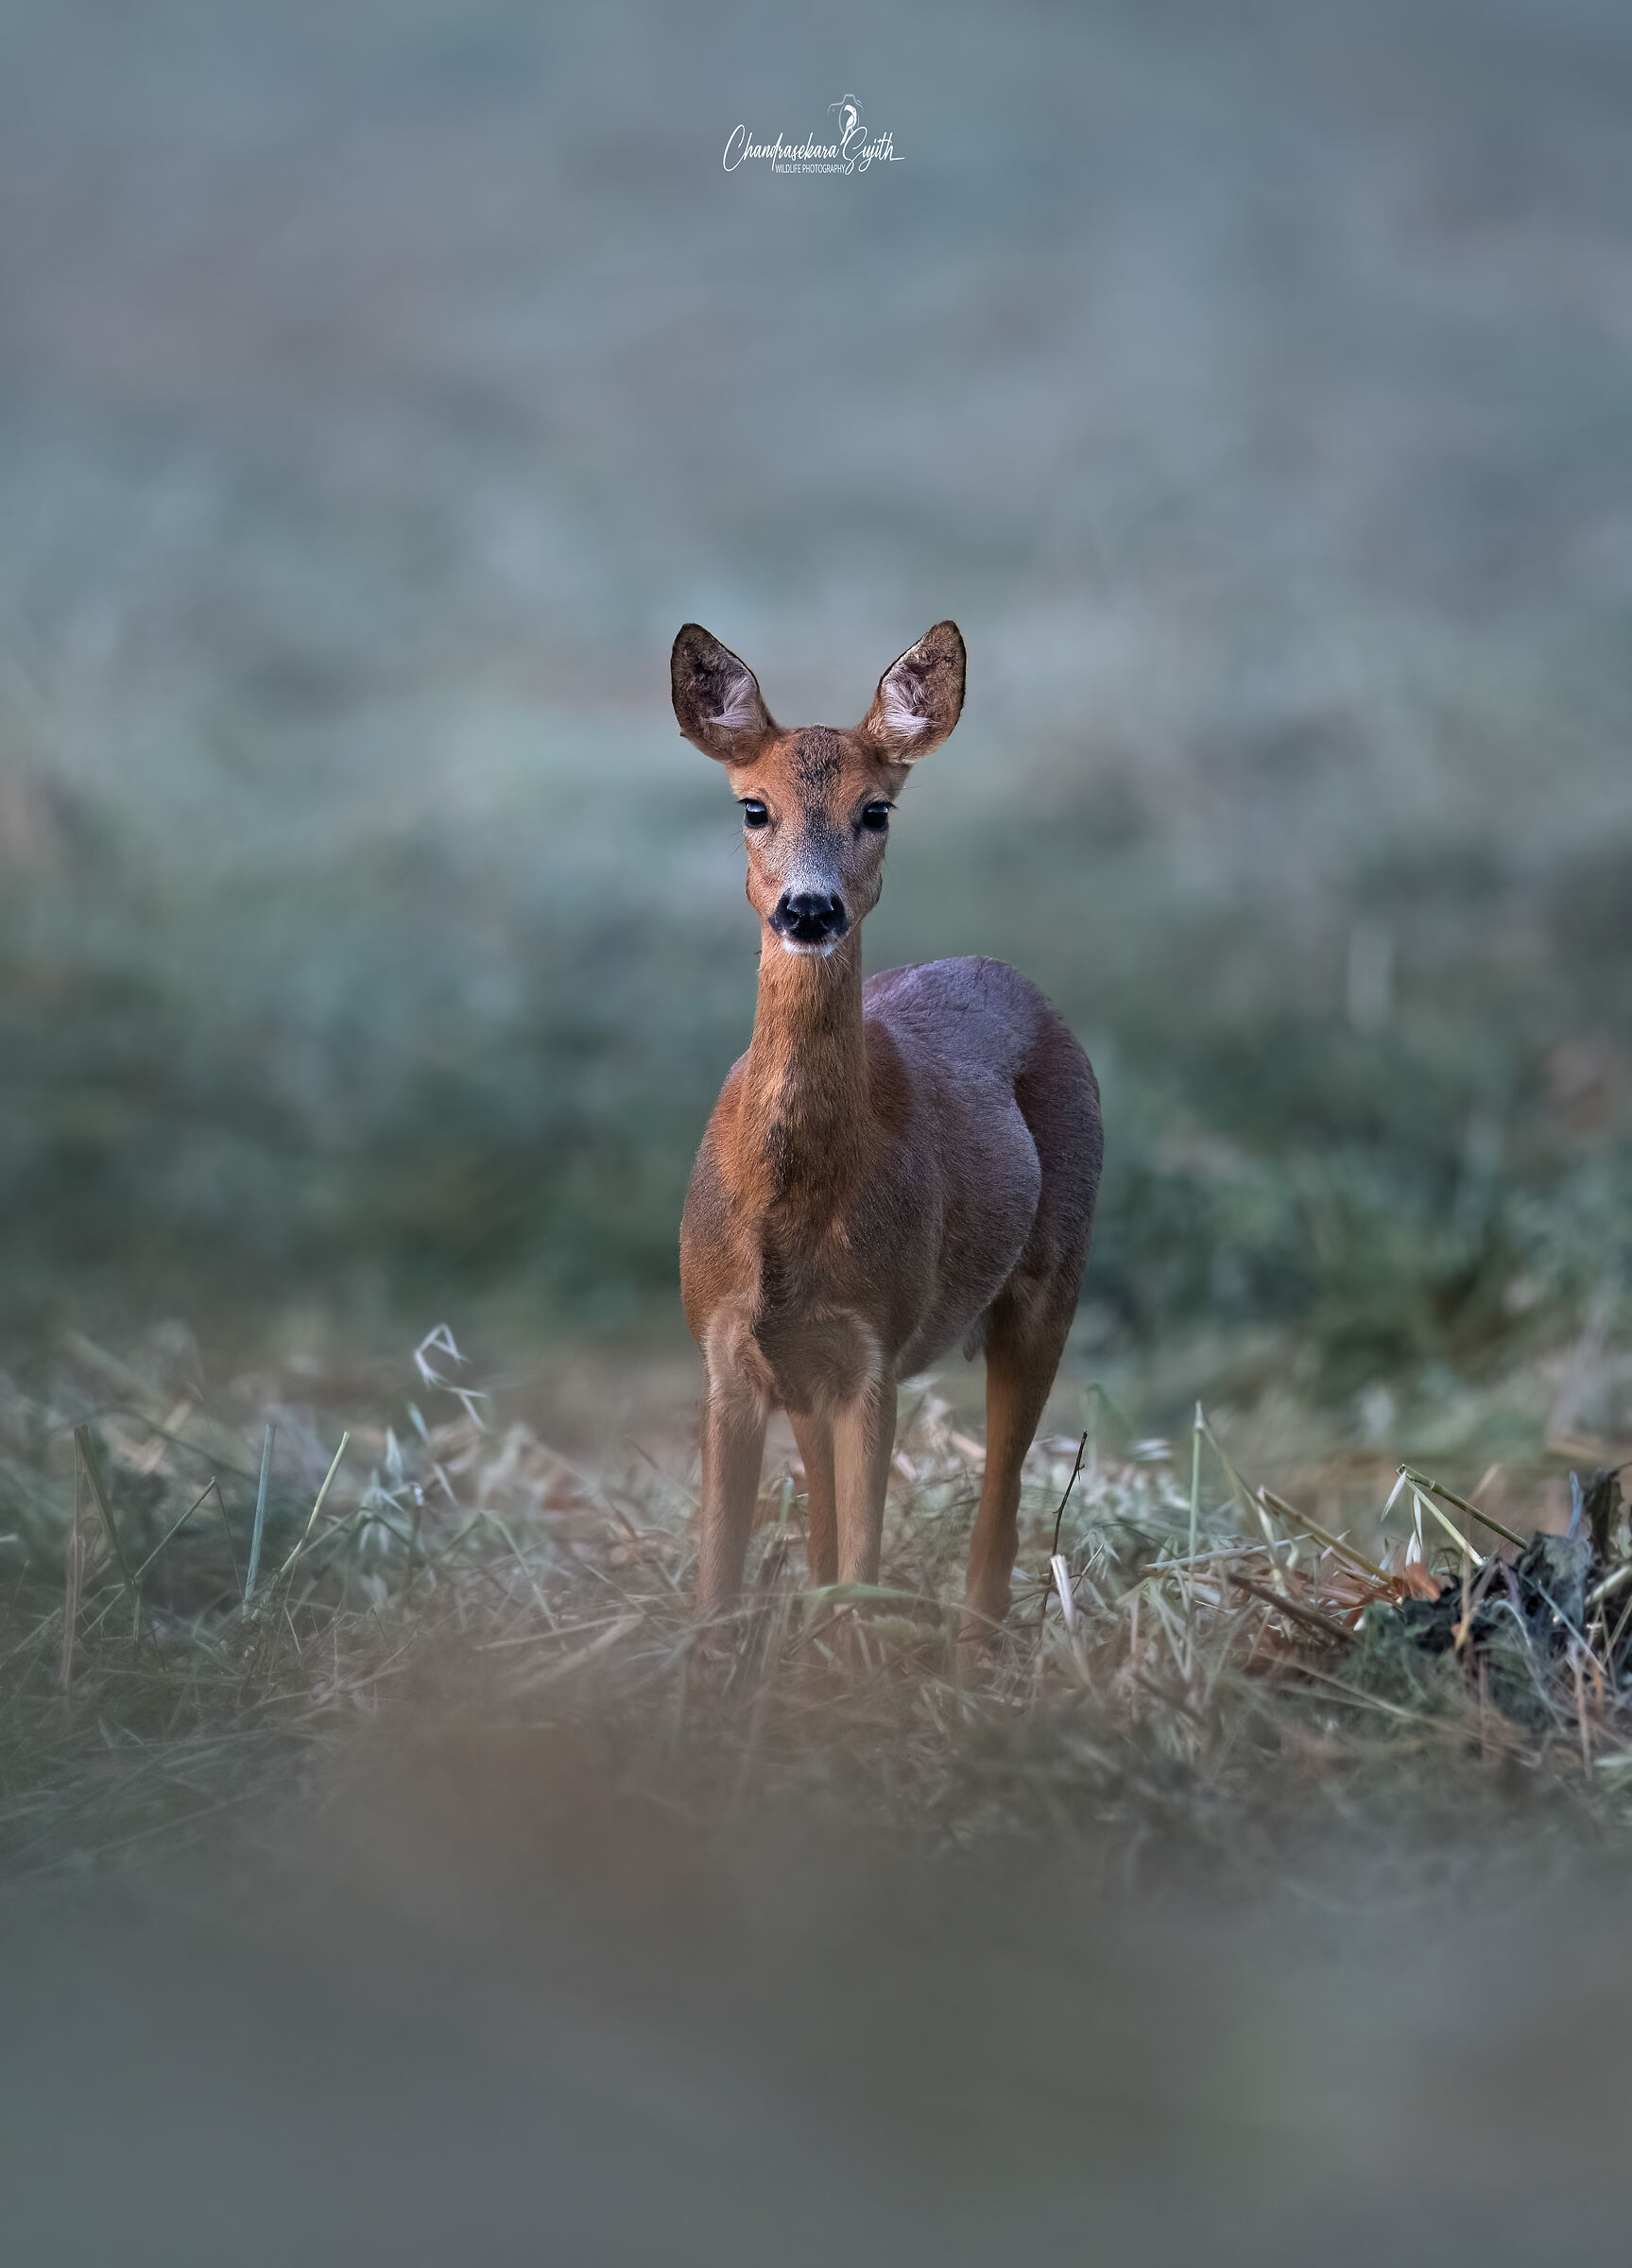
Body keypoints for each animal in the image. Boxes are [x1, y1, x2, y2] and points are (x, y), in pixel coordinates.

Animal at [671, 620, 1103, 1646]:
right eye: (753, 807)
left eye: (875, 811)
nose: (809, 908)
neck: (787, 1208)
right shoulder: (725, 1351)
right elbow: (723, 1587)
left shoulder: (876, 1349)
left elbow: (858, 1579)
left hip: (1052, 1274)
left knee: (997, 1520)